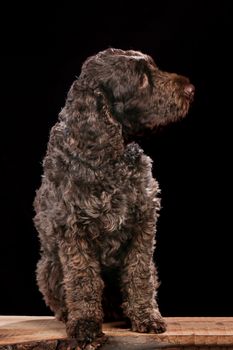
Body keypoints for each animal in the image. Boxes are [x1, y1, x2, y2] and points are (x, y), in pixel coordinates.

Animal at [33, 47, 194, 348]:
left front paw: (145, 316)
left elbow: (139, 275)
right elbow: (83, 281)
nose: (191, 90)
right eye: (141, 79)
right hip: (48, 267)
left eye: (153, 68)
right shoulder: (74, 232)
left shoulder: (143, 226)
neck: (108, 160)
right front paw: (85, 325)